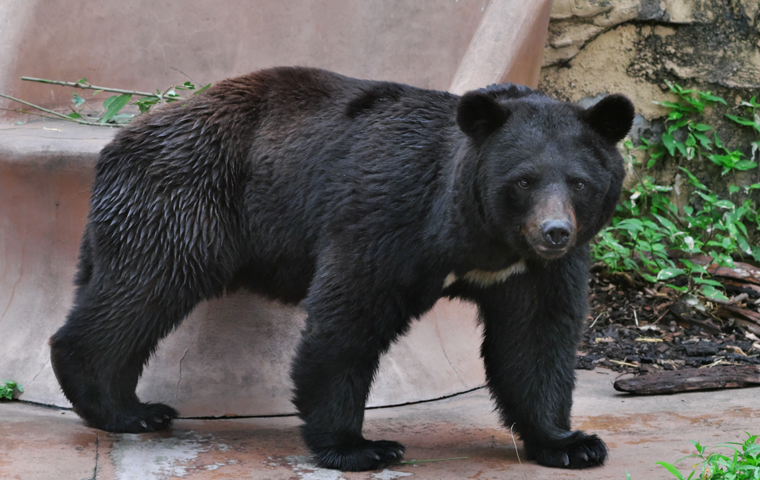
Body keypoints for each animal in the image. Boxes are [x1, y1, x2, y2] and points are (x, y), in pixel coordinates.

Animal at [49, 66, 634, 472]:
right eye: (524, 180)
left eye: (579, 181)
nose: (554, 232)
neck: (478, 237)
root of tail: (120, 140)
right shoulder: (388, 217)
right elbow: (348, 319)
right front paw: (360, 446)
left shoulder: (533, 271)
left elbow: (535, 336)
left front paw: (570, 443)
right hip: (183, 201)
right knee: (142, 292)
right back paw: (123, 408)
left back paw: (130, 405)